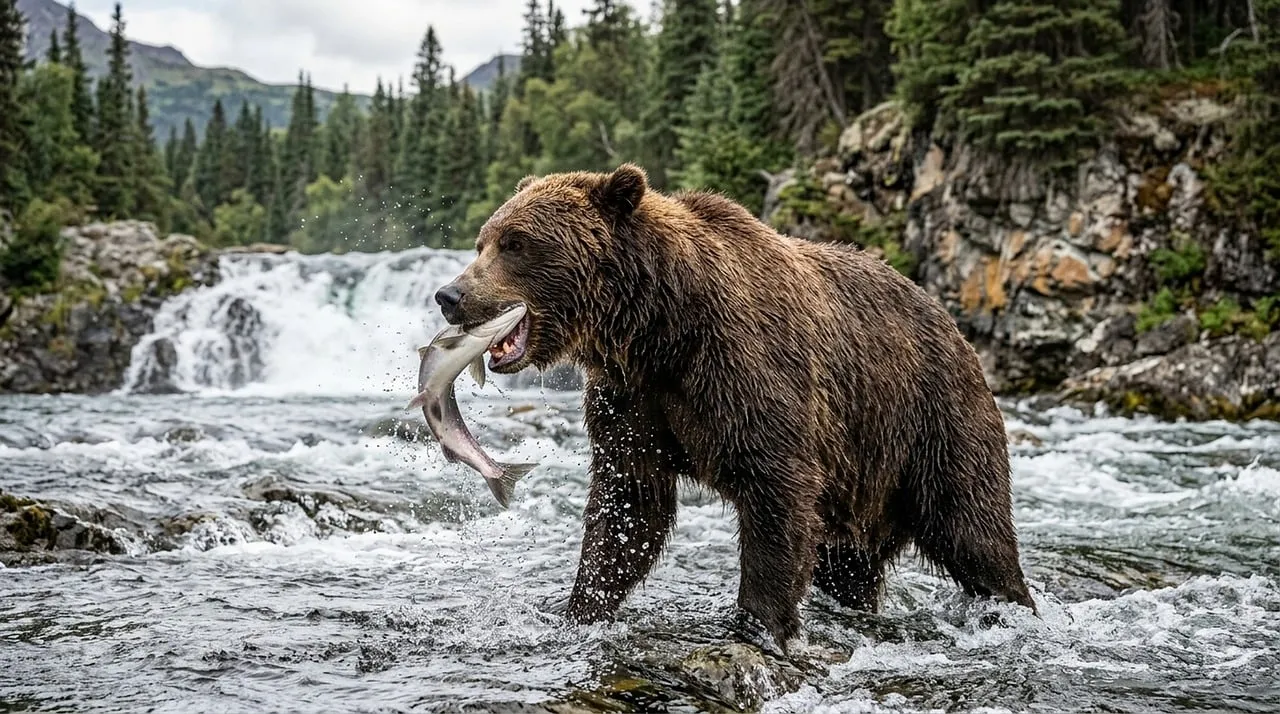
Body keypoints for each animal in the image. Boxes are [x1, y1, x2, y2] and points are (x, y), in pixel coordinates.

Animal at [433, 163, 1036, 653]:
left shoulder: (745, 372)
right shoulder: (632, 400)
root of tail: (951, 323)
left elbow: (777, 496)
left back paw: (1013, 607)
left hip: (930, 421)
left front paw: (759, 625)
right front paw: (580, 609)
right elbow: (628, 507)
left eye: (516, 242)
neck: (658, 328)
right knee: (848, 566)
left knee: (975, 530)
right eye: (483, 241)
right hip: (862, 476)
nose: (450, 295)